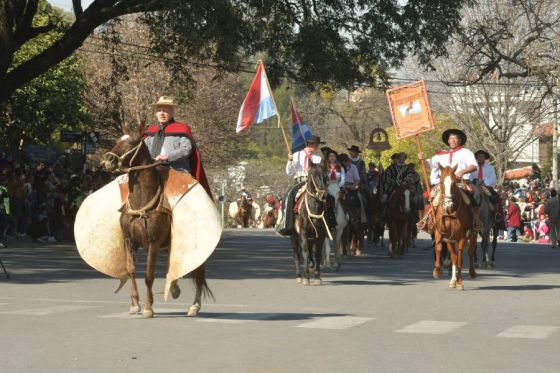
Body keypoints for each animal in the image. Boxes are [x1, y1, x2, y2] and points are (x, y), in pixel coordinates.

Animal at [101, 127, 212, 316]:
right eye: (117, 140)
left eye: (132, 142)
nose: (109, 159)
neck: (142, 202)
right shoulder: (129, 241)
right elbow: (131, 270)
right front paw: (135, 304)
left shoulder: (153, 243)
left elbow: (148, 275)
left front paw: (148, 308)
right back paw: (174, 290)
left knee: (198, 273)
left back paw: (194, 306)